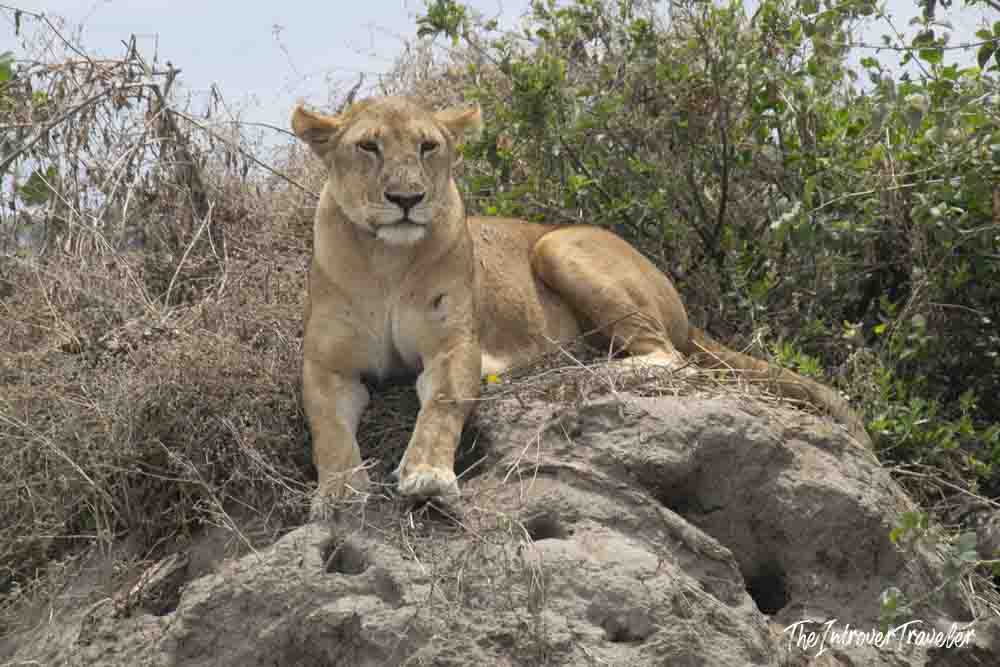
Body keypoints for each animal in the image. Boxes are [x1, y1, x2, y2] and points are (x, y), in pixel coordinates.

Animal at [291, 96, 871, 509]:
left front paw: (428, 476)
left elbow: (442, 406)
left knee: (667, 357)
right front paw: (339, 493)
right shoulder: (326, 366)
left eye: (428, 147)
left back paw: (582, 368)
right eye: (369, 147)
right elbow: (327, 429)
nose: (407, 199)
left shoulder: (455, 346)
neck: (386, 259)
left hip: (558, 245)